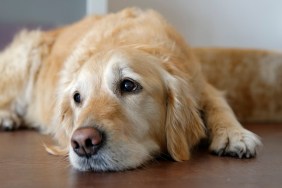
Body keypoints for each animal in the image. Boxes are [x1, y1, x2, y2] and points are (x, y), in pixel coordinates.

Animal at [0, 8, 264, 171]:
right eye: (77, 97)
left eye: (128, 85)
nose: (83, 142)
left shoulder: (199, 84)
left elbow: (219, 103)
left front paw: (234, 134)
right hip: (27, 53)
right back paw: (7, 116)